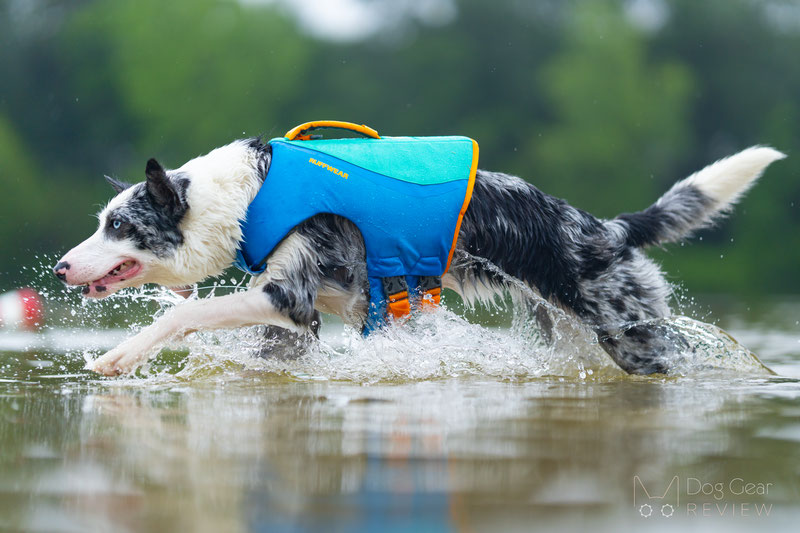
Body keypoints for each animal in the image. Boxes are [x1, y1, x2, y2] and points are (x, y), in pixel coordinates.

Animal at [53, 137, 784, 376]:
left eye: (119, 225)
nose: (60, 266)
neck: (245, 197)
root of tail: (608, 227)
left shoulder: (284, 296)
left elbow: (178, 317)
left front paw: (119, 356)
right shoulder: (296, 323)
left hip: (632, 337)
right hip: (569, 335)